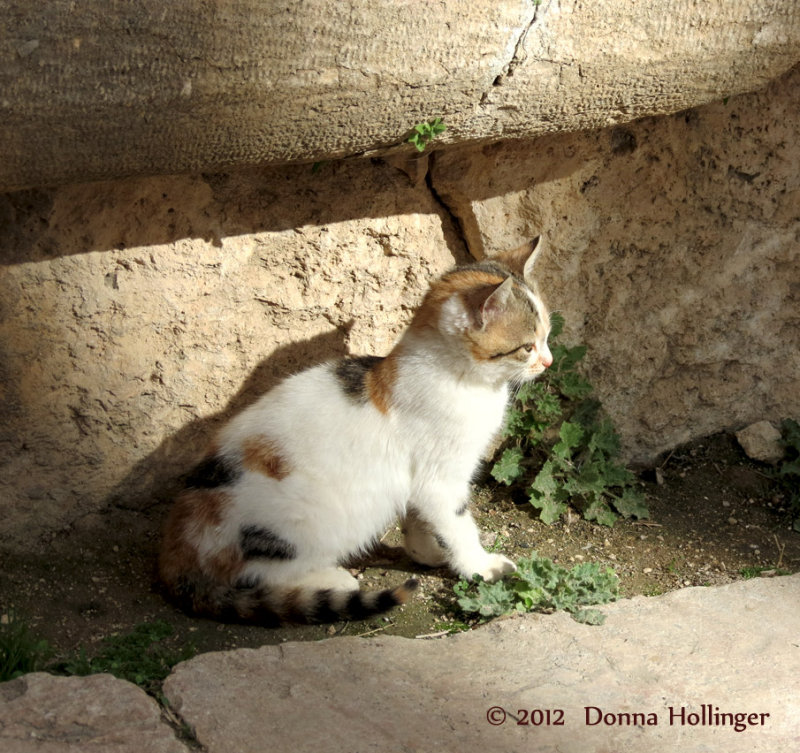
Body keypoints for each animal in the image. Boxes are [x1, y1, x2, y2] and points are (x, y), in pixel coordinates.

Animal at [159, 236, 552, 624]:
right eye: (526, 347)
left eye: (547, 335)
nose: (548, 361)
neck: (464, 381)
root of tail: (177, 551)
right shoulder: (440, 479)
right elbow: (458, 526)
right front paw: (481, 567)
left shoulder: (415, 479)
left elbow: (418, 520)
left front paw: (427, 554)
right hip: (311, 517)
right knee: (258, 576)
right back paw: (332, 580)